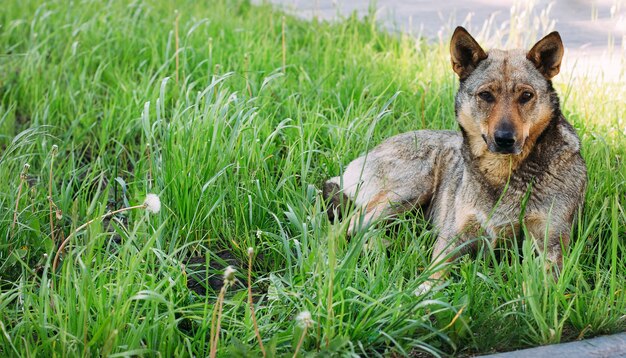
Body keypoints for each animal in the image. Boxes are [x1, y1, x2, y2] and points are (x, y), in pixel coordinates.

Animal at [322, 25, 584, 294]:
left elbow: (543, 288)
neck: (501, 173)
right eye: (486, 95)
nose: (504, 139)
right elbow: (435, 271)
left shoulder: (550, 243)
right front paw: (422, 292)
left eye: (526, 95)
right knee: (345, 227)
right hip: (411, 187)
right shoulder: (455, 235)